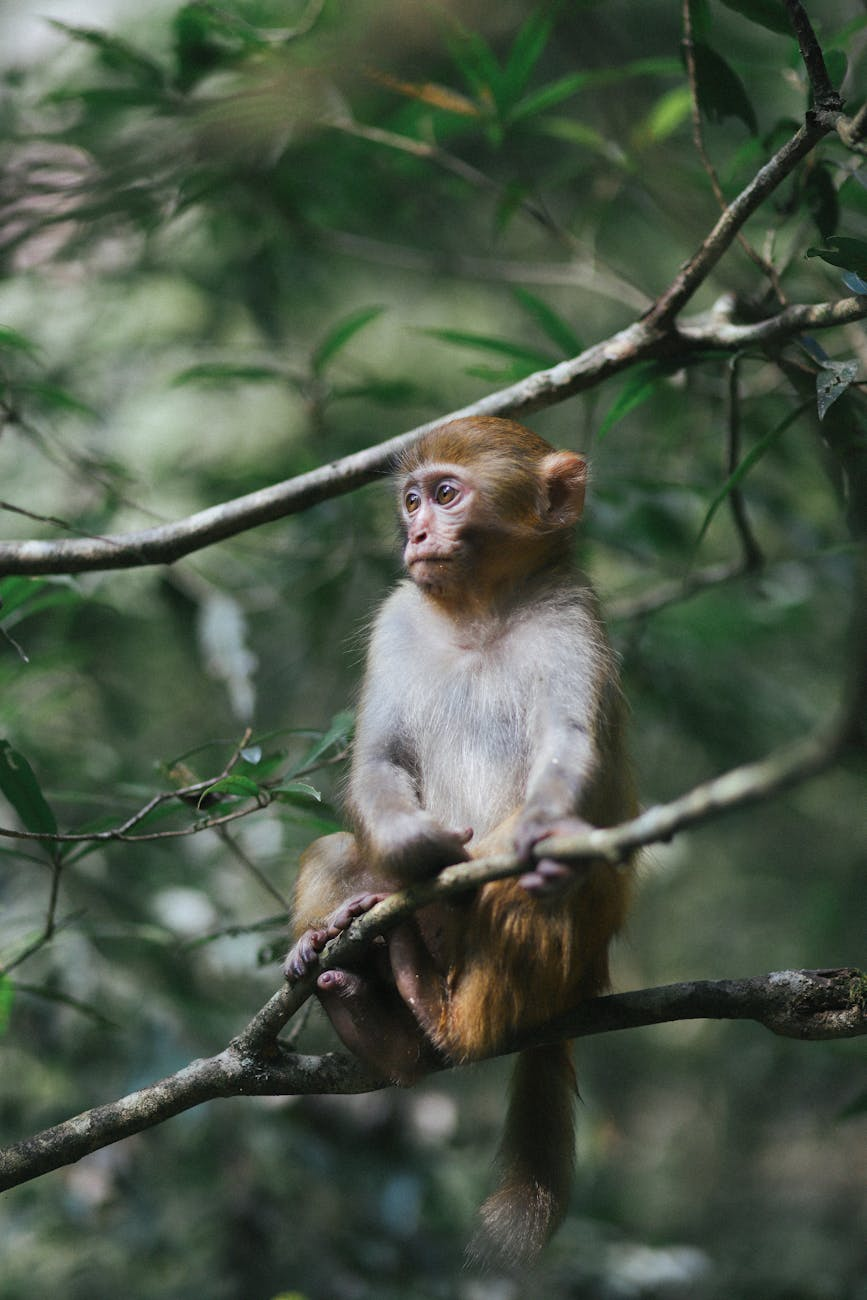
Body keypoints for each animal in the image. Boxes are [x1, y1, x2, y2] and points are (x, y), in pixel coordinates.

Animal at [285, 415, 637, 1267]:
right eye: (412, 499)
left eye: (447, 494)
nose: (415, 531)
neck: (479, 614)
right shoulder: (398, 616)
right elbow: (378, 761)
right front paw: (416, 849)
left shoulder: (569, 616)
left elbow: (569, 747)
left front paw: (514, 846)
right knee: (339, 855)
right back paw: (380, 1018)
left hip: (571, 957)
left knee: (536, 896)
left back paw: (446, 1010)